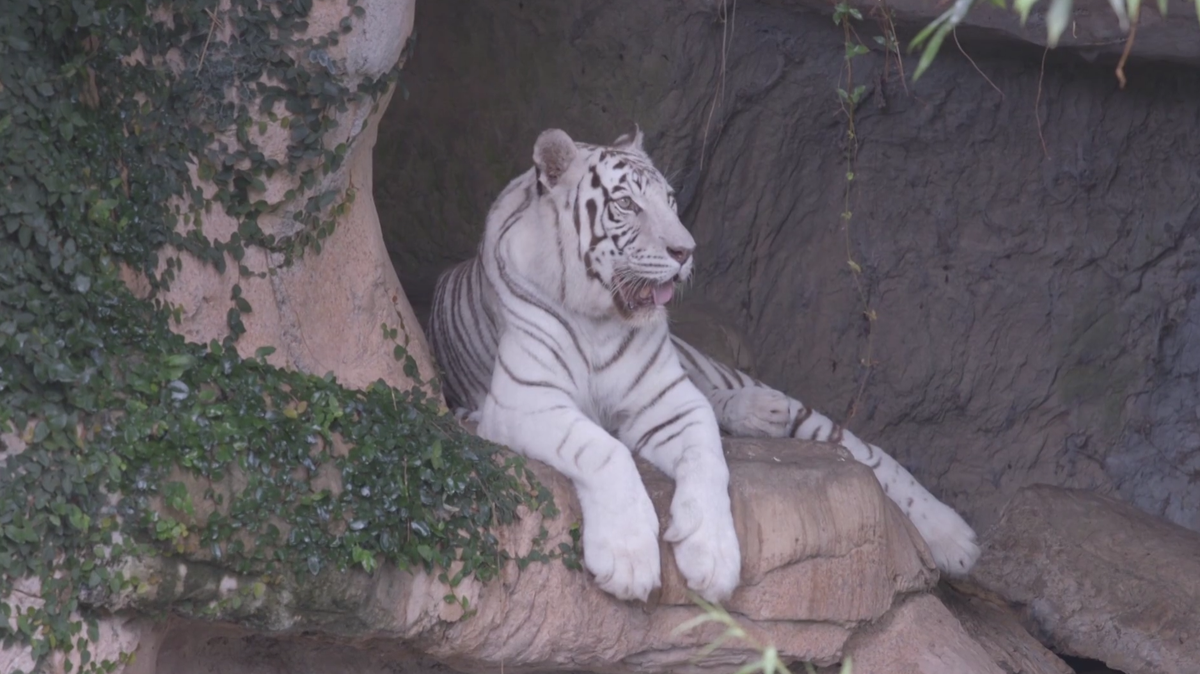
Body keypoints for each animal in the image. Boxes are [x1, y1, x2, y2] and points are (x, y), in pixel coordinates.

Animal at [427, 130, 979, 597]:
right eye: (626, 204)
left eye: (670, 201)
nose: (685, 250)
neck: (599, 318)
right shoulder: (526, 400)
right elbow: (603, 449)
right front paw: (628, 560)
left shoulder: (669, 400)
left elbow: (709, 459)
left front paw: (712, 558)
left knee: (861, 450)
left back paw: (954, 537)